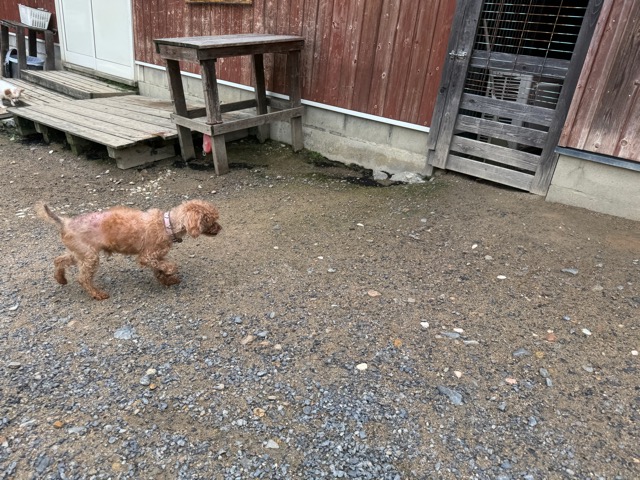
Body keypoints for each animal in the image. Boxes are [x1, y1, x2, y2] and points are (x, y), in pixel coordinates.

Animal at [37, 200, 221, 300]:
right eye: (210, 220)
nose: (220, 228)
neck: (167, 225)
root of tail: (64, 222)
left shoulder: (156, 257)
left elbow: (159, 270)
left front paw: (167, 280)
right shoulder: (147, 256)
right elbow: (167, 265)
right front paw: (170, 272)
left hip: (80, 253)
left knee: (58, 260)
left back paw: (61, 279)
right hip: (90, 256)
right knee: (82, 278)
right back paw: (97, 294)